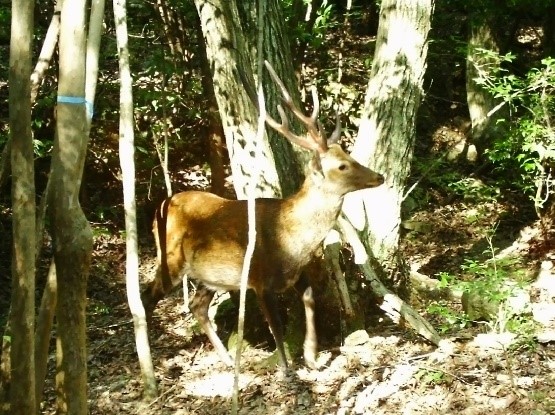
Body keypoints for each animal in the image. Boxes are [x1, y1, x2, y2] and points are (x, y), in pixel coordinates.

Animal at [142, 61, 386, 370]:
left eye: (349, 155)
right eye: (342, 166)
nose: (379, 176)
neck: (291, 240)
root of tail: (159, 207)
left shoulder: (295, 275)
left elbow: (310, 302)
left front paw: (311, 356)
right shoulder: (259, 279)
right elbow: (277, 328)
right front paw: (287, 369)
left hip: (209, 274)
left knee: (198, 306)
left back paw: (227, 360)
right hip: (170, 258)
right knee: (147, 296)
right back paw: (149, 364)